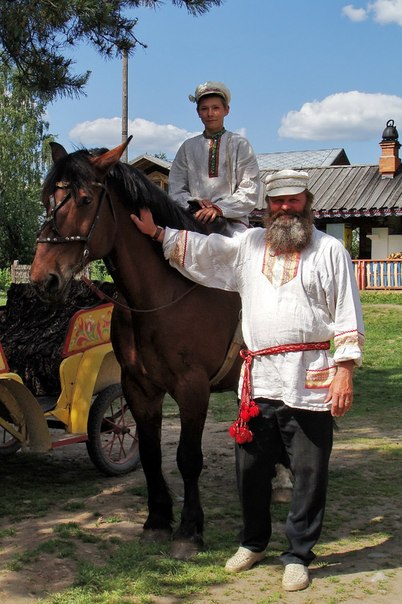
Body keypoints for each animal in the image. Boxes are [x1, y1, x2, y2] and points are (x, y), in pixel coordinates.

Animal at [29, 139, 243, 559]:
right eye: (48, 200)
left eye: (83, 199)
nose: (43, 279)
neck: (164, 295)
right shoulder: (138, 388)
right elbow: (148, 453)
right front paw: (157, 522)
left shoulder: (193, 390)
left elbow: (188, 458)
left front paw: (189, 531)